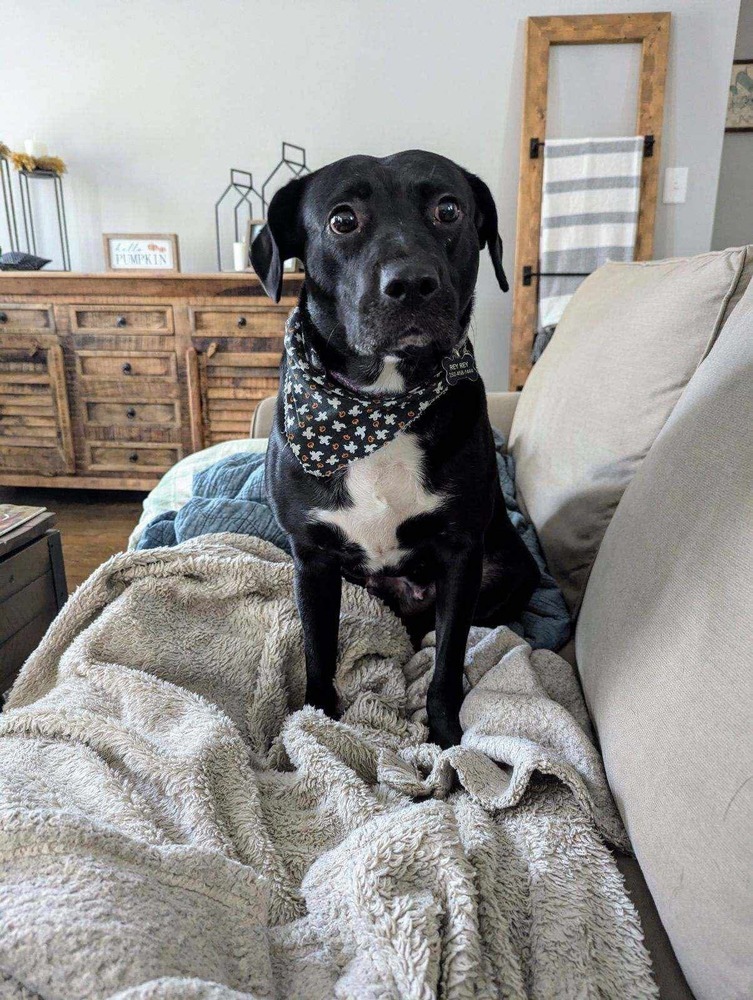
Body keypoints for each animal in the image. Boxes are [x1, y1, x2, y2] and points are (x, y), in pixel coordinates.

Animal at [253, 152, 540, 748]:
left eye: (449, 210)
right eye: (342, 220)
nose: (411, 284)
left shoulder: (461, 557)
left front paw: (447, 741)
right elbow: (317, 654)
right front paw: (317, 723)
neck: (381, 405)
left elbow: (447, 663)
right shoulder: (312, 560)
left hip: (509, 571)